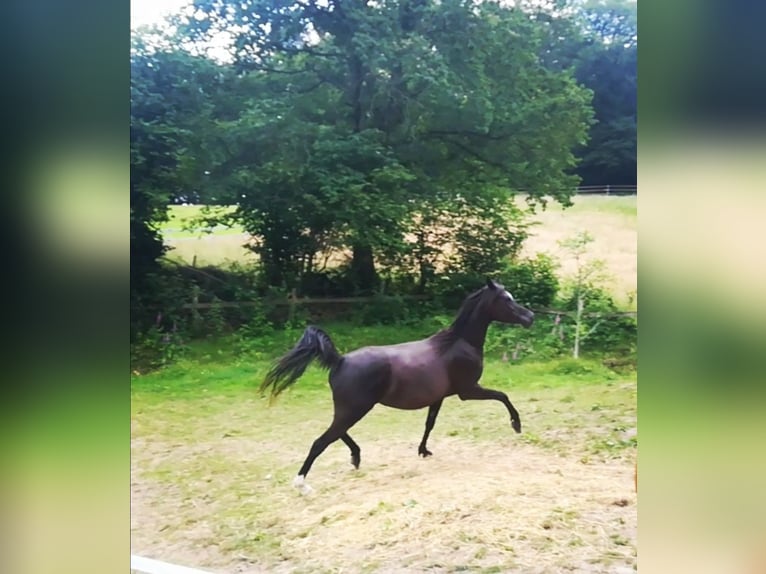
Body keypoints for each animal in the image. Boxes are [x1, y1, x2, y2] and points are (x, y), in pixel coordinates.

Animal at [260, 280, 536, 496]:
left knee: (336, 433)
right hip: (356, 408)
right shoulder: (468, 391)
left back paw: (356, 456)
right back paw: (302, 485)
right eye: (506, 300)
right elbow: (502, 396)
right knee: (322, 440)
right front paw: (517, 424)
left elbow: (429, 423)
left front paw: (423, 451)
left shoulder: (439, 397)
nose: (530, 317)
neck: (457, 344)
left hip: (349, 409)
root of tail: (340, 361)